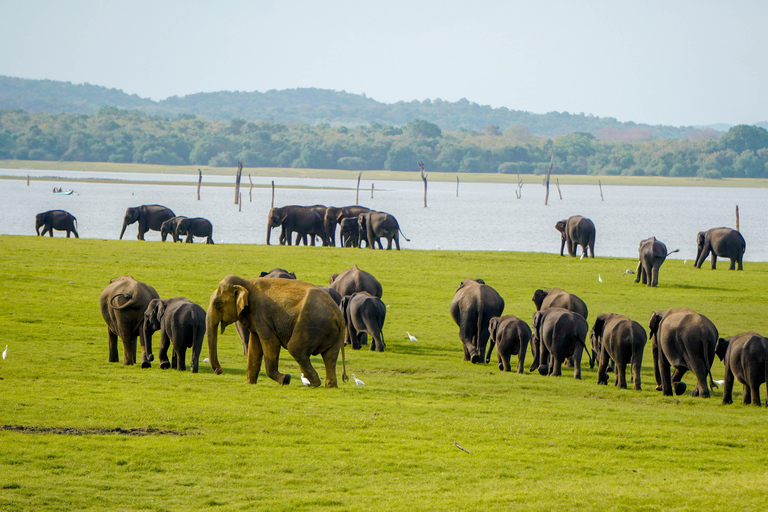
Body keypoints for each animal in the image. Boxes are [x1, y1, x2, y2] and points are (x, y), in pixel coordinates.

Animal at [205, 274, 347, 387]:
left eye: (217, 303)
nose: (219, 370)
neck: (247, 282)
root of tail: (339, 315)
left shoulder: (260, 313)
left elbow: (271, 342)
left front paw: (285, 379)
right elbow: (254, 346)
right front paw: (248, 383)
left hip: (310, 325)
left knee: (295, 349)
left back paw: (313, 384)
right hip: (332, 333)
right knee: (330, 356)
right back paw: (330, 386)